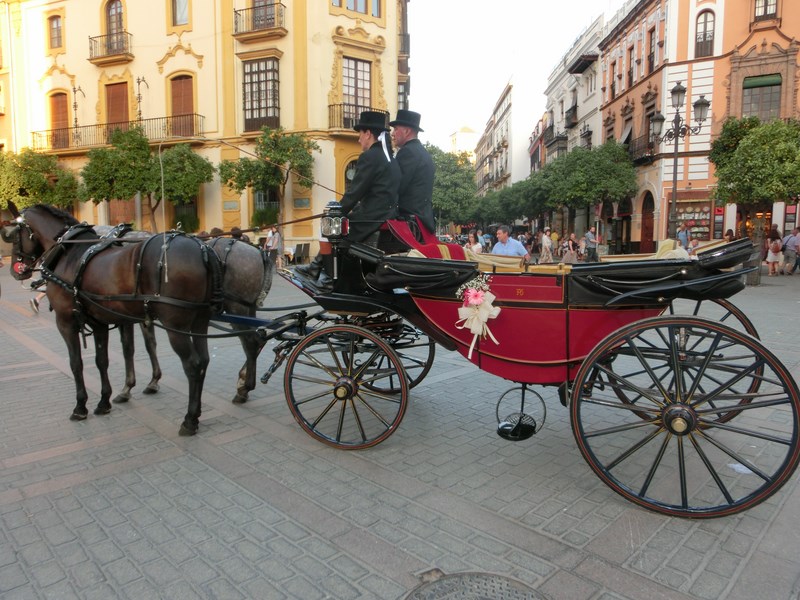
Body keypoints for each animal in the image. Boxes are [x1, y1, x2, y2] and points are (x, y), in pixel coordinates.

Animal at [4, 202, 223, 436]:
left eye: (12, 235)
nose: (15, 271)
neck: (69, 251)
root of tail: (202, 249)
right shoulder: (98, 322)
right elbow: (102, 361)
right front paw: (104, 401)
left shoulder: (65, 322)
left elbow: (76, 363)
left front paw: (80, 406)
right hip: (200, 320)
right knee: (203, 361)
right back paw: (196, 413)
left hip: (175, 325)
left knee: (193, 364)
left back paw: (189, 420)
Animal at [95, 226, 274, 405]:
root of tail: (259, 253)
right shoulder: (143, 314)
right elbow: (150, 344)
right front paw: (153, 381)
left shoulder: (126, 315)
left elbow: (128, 348)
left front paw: (127, 388)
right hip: (248, 308)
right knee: (257, 339)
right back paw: (244, 385)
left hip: (237, 307)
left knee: (250, 343)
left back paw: (244, 386)